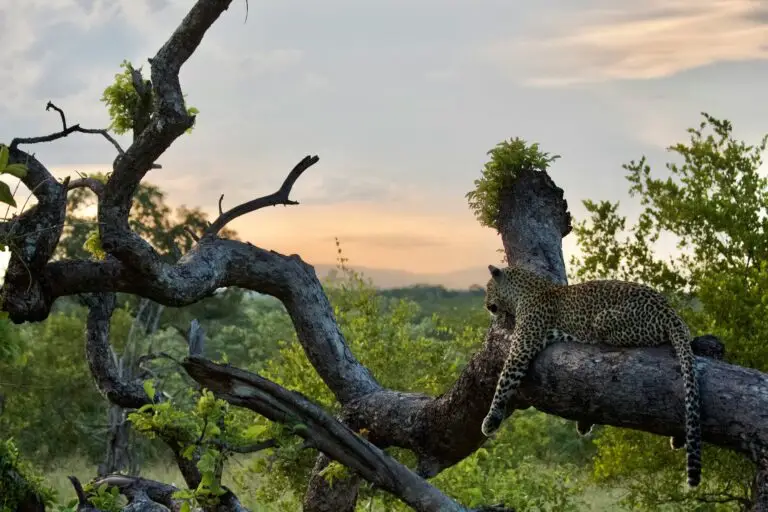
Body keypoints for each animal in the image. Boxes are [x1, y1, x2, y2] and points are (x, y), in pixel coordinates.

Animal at [480, 263, 702, 488]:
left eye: (488, 288)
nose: (486, 305)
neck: (524, 290)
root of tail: (670, 311)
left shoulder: (521, 349)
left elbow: (503, 383)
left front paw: (490, 420)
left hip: (603, 320)